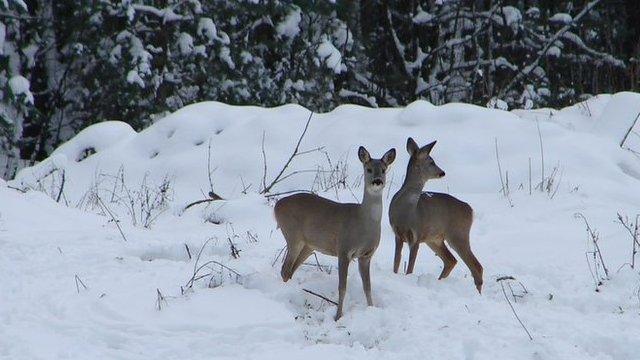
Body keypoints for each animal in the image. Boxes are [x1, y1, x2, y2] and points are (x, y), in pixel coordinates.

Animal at [274, 145, 396, 320]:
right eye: (369, 169)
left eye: (384, 170)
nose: (377, 181)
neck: (363, 223)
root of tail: (276, 206)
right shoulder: (344, 250)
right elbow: (342, 287)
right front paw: (338, 316)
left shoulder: (366, 255)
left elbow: (367, 287)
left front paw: (371, 309)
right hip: (292, 235)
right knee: (285, 269)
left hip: (308, 245)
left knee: (290, 270)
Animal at [388, 137, 482, 292]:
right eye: (431, 162)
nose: (442, 172)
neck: (407, 210)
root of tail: (470, 210)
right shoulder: (397, 234)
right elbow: (396, 263)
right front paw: (395, 275)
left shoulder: (417, 234)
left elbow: (410, 267)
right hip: (435, 239)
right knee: (451, 260)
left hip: (458, 234)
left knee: (476, 266)